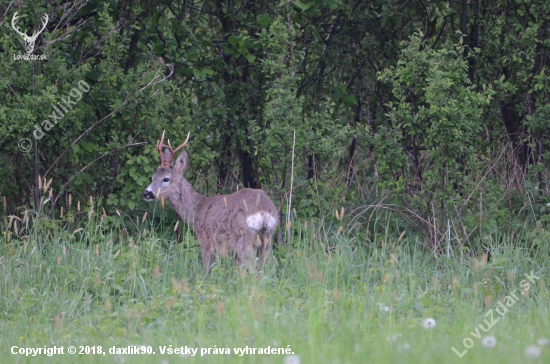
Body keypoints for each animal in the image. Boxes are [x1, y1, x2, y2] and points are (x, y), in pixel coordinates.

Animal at [144, 132, 278, 272]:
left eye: (166, 179)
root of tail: (263, 211)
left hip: (242, 236)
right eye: (153, 177)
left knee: (252, 268)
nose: (147, 193)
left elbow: (207, 271)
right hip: (266, 239)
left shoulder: (206, 242)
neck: (197, 210)